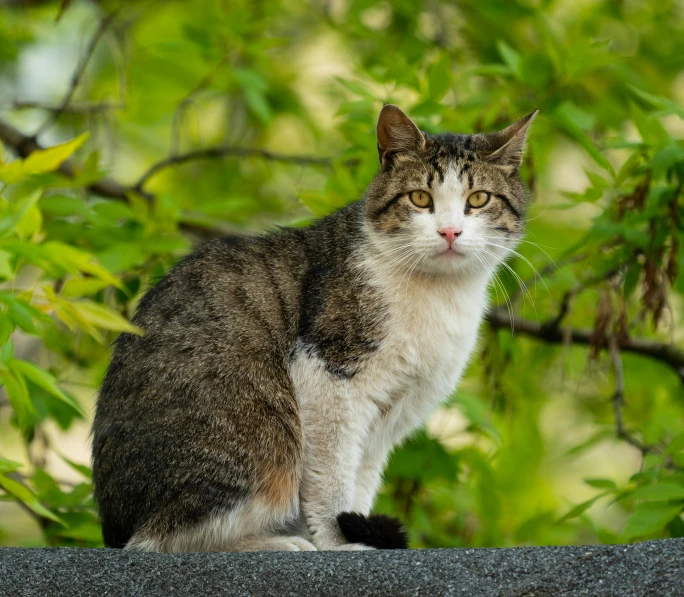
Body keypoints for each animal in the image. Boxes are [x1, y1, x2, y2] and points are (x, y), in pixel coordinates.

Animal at [91, 105, 536, 552]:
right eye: (420, 198)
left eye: (477, 199)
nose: (449, 231)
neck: (440, 295)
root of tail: (114, 524)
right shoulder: (327, 376)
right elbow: (331, 480)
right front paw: (340, 541)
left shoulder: (386, 419)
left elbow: (360, 480)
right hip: (257, 434)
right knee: (158, 539)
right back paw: (277, 543)